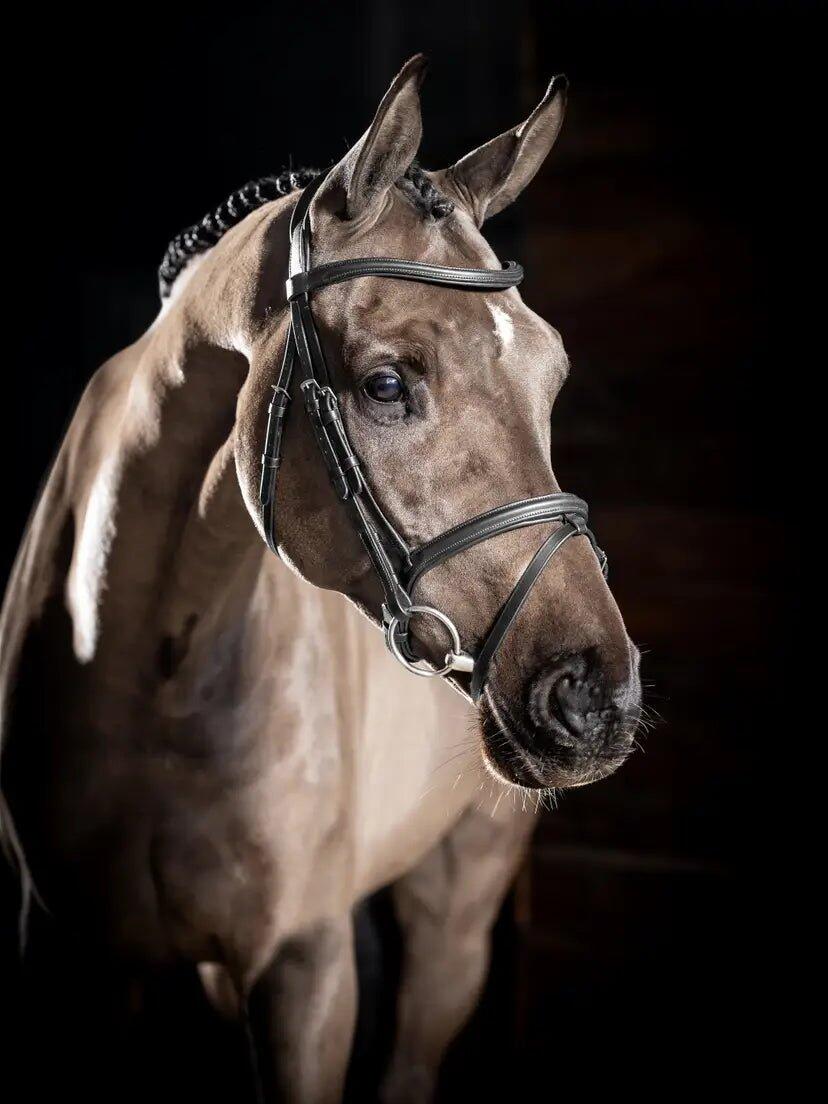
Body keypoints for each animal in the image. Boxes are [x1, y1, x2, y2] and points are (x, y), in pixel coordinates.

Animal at [0, 55, 641, 1103]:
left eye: (553, 376)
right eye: (385, 383)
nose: (594, 693)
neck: (151, 670)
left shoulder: (305, 971)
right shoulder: (72, 959)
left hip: (454, 915)